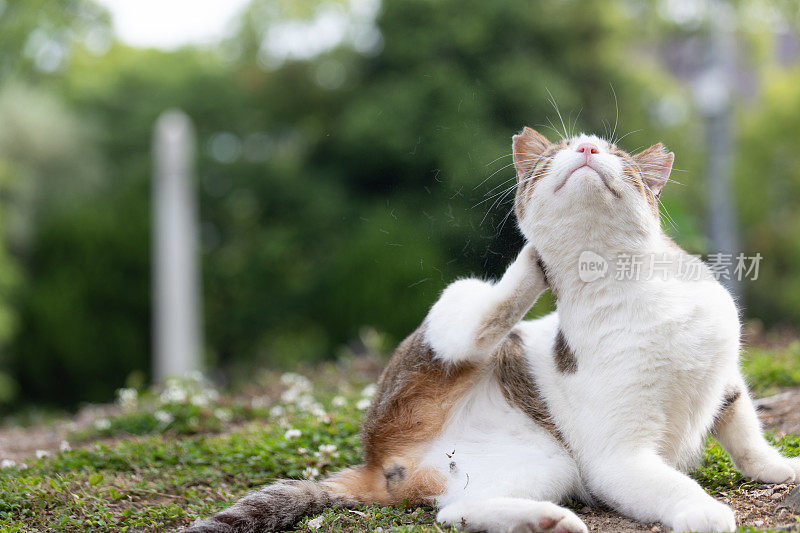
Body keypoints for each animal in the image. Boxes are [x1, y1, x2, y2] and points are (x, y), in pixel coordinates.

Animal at [183, 127, 800, 528]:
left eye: (616, 153)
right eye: (556, 152)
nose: (585, 148)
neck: (630, 281)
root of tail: (375, 461)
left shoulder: (727, 383)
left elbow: (749, 440)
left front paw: (782, 467)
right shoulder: (619, 459)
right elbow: (672, 482)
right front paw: (703, 510)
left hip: (543, 463)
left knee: (454, 510)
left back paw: (545, 520)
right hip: (452, 325)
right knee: (474, 328)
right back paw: (530, 264)